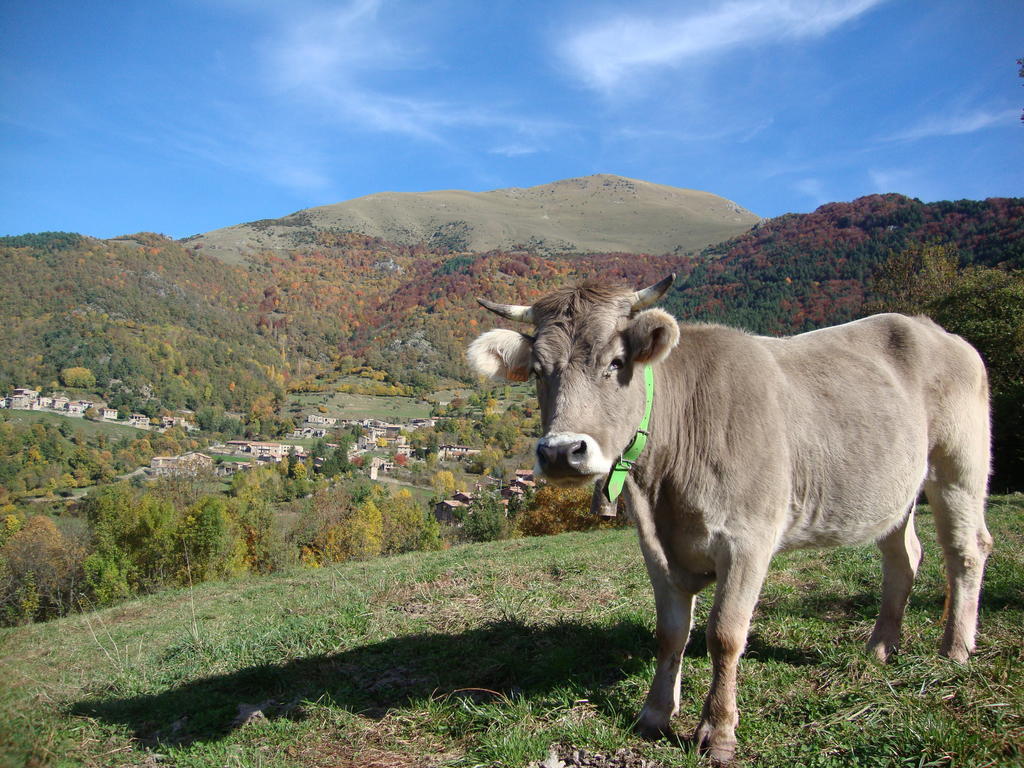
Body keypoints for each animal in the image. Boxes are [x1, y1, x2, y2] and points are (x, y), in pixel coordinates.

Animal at [466, 276, 991, 765]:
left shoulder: (748, 539)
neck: (663, 490)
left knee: (966, 550)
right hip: (891, 492)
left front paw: (717, 733)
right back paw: (881, 646)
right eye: (538, 371)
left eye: (615, 362)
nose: (560, 452)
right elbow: (670, 631)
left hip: (959, 464)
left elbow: (724, 634)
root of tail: (930, 328)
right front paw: (654, 714)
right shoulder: (656, 548)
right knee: (904, 556)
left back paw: (955, 650)